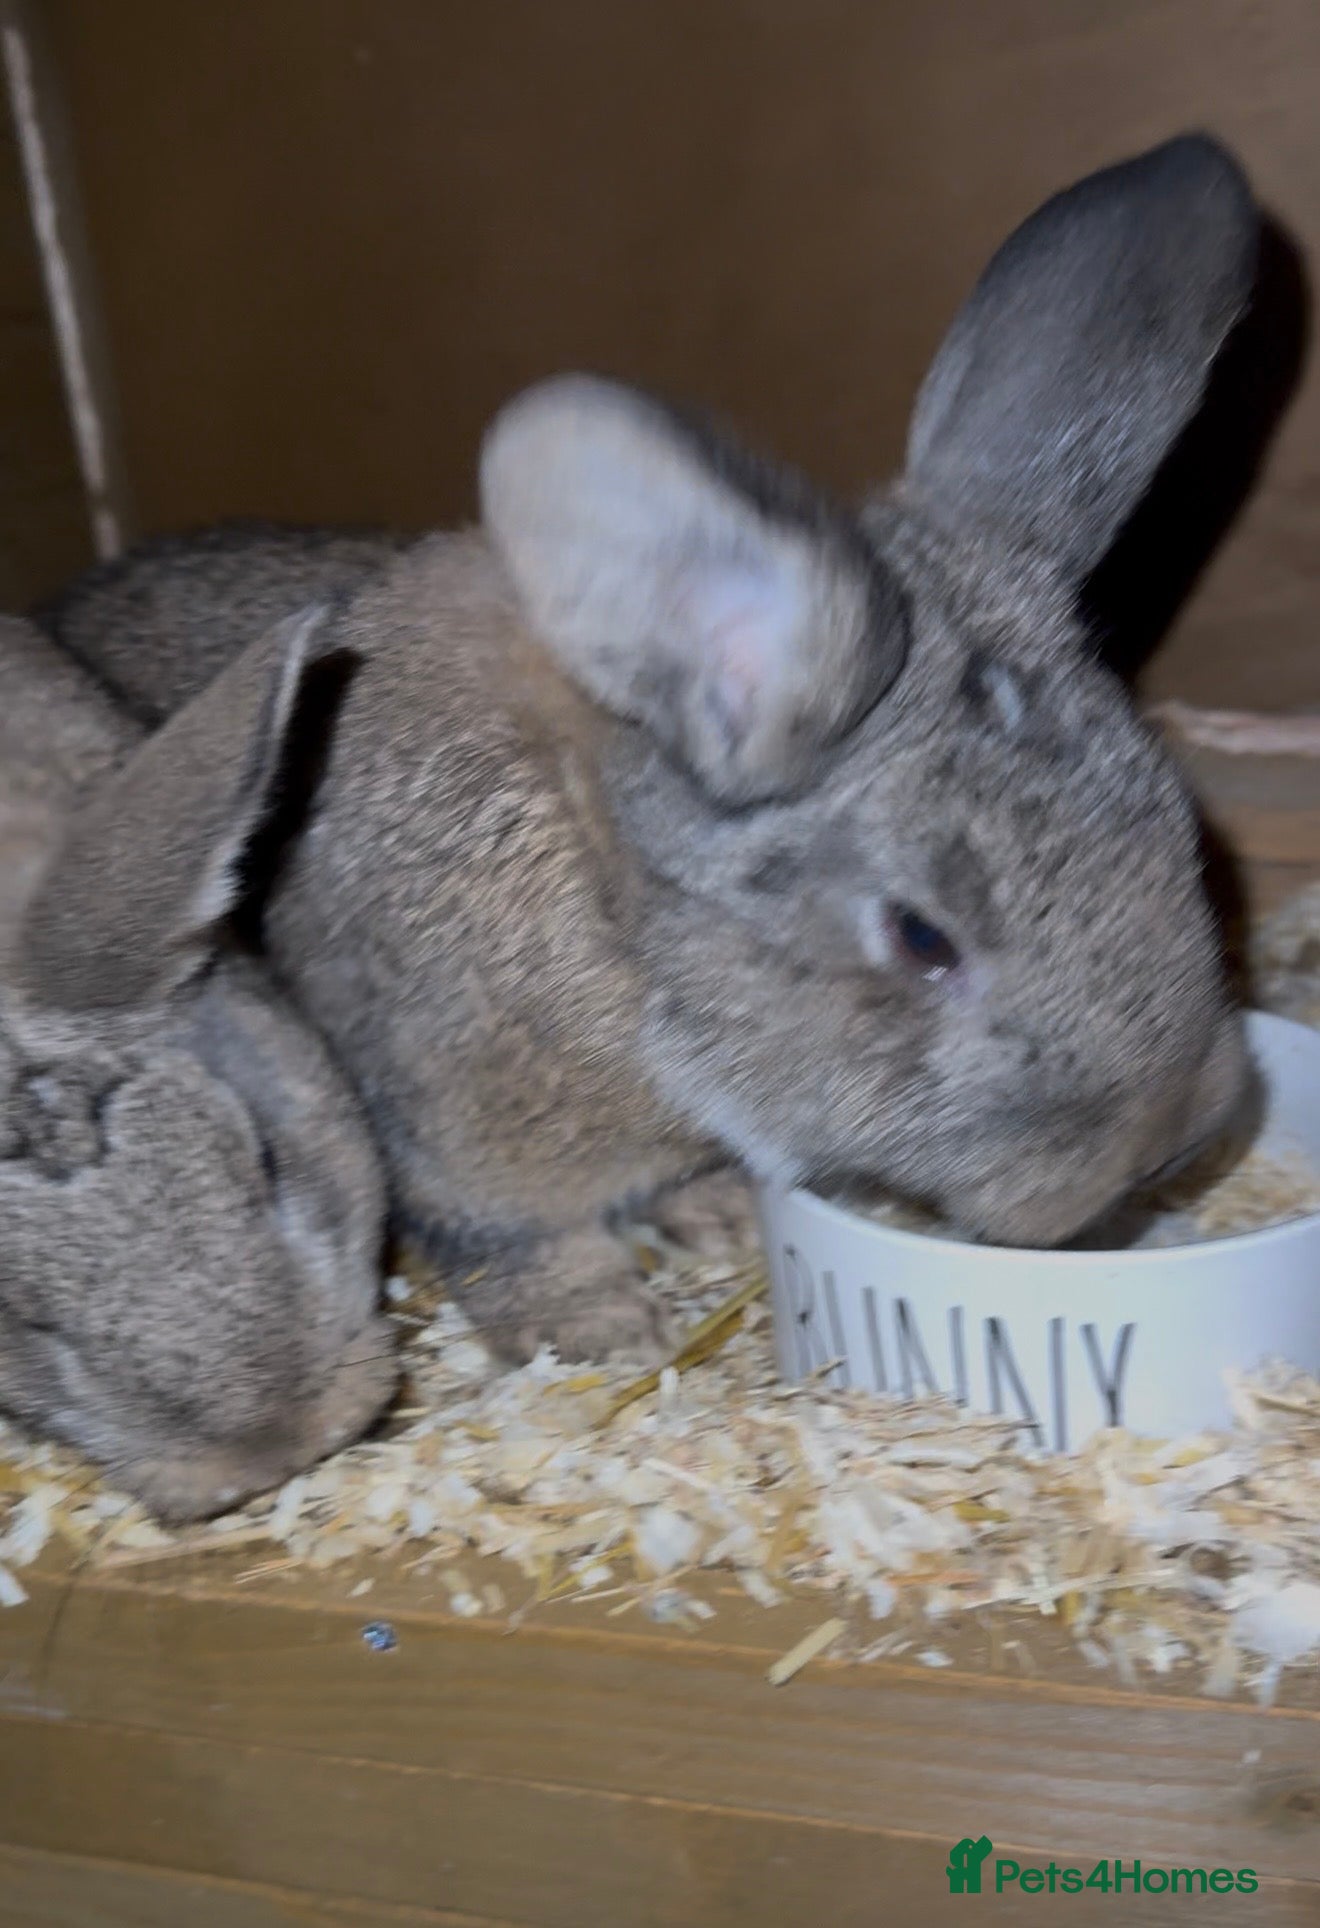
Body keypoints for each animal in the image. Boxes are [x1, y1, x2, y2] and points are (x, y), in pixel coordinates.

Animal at [37, 135, 1257, 1365]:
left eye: (1176, 825)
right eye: (922, 937)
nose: (1162, 1143)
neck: (611, 913)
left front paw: (717, 1218)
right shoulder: (444, 1136)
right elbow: (510, 1240)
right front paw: (599, 1331)